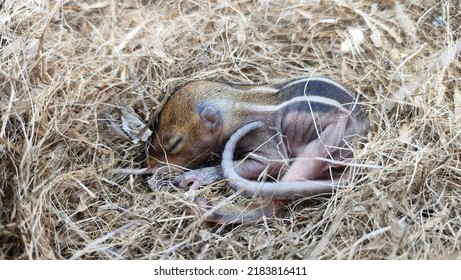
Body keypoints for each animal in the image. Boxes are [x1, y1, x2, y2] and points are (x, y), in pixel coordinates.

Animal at [149, 76, 368, 223]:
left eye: (174, 144)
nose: (149, 168)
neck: (240, 104)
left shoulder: (261, 135)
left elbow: (273, 162)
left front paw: (199, 175)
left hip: (325, 144)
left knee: (272, 206)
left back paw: (216, 211)